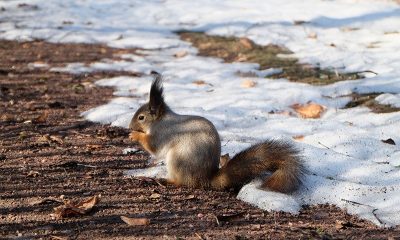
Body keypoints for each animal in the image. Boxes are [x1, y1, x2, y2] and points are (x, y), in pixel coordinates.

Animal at [130, 71, 304, 193]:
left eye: (141, 117)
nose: (130, 126)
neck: (160, 120)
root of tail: (204, 179)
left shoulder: (162, 133)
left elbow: (154, 147)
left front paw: (135, 135)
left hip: (177, 160)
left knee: (182, 182)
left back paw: (166, 180)